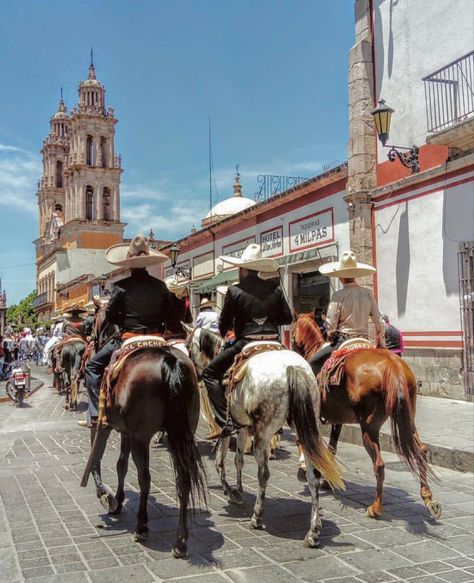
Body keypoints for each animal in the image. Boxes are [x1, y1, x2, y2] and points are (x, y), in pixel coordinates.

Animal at [83, 344, 207, 560]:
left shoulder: (121, 430)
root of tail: (170, 361)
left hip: (142, 437)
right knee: (183, 480)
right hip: (180, 433)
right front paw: (118, 499)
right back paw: (181, 542)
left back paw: (141, 527)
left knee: (145, 478)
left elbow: (114, 463)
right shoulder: (127, 432)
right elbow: (121, 465)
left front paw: (110, 498)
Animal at [182, 326, 344, 548]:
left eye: (189, 346)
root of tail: (291, 368)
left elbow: (221, 460)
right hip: (308, 428)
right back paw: (313, 531)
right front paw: (239, 489)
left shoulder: (228, 424)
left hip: (263, 433)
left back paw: (257, 517)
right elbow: (238, 459)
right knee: (314, 475)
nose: (194, 375)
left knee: (264, 474)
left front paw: (231, 490)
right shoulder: (242, 426)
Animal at [290, 310, 442, 520]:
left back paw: (376, 508)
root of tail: (392, 366)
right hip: (408, 418)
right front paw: (327, 479)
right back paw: (428, 498)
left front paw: (304, 469)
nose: (291, 347)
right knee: (420, 450)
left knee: (379, 464)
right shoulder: (337, 419)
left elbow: (304, 441)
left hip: (369, 426)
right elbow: (331, 447)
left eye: (291, 330)